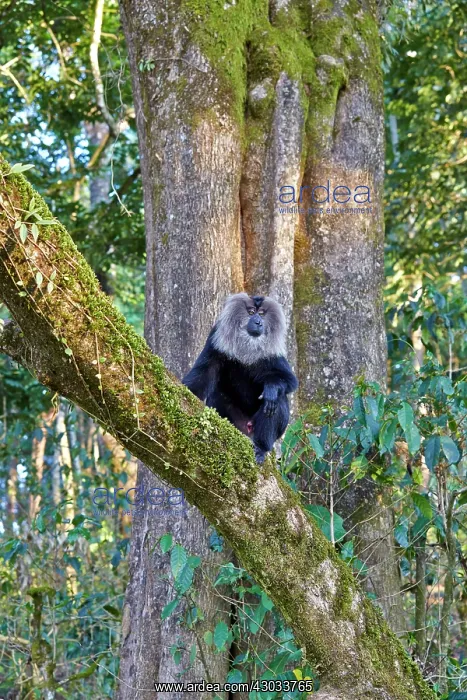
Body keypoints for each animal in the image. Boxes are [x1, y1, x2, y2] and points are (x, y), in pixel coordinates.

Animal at [182, 293, 298, 463]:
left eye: (261, 313)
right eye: (251, 312)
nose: (258, 322)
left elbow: (289, 380)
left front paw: (271, 388)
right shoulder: (216, 337)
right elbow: (204, 373)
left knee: (277, 400)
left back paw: (261, 447)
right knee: (217, 394)